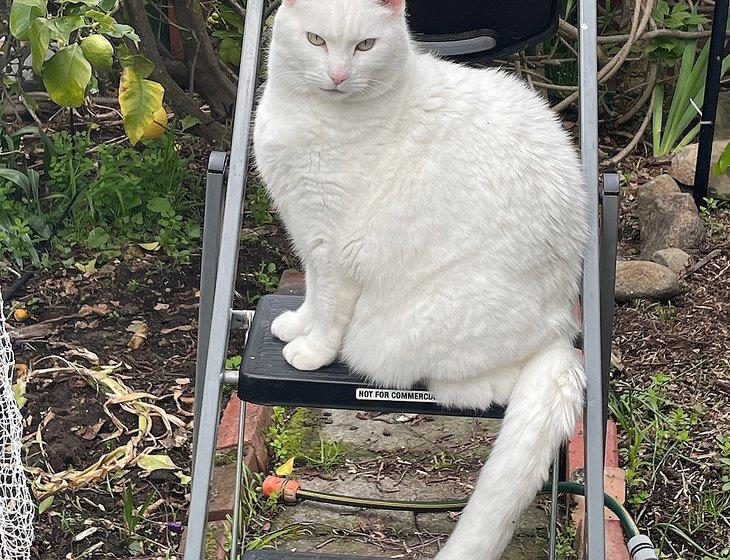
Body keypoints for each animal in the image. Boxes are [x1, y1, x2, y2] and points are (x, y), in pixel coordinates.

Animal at [253, 2, 588, 556]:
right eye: (316, 40)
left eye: (365, 45)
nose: (338, 75)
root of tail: (560, 333)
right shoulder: (307, 231)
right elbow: (313, 293)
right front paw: (295, 325)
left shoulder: (335, 245)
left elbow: (330, 309)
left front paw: (313, 351)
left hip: (423, 335)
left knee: (488, 383)